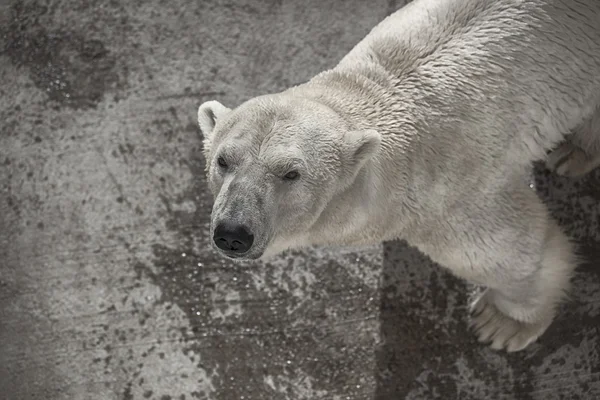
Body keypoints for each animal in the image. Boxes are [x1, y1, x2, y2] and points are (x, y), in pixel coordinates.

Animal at [197, 0, 600, 352]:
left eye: (291, 173)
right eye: (223, 161)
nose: (233, 234)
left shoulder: (451, 192)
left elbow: (514, 250)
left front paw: (501, 324)